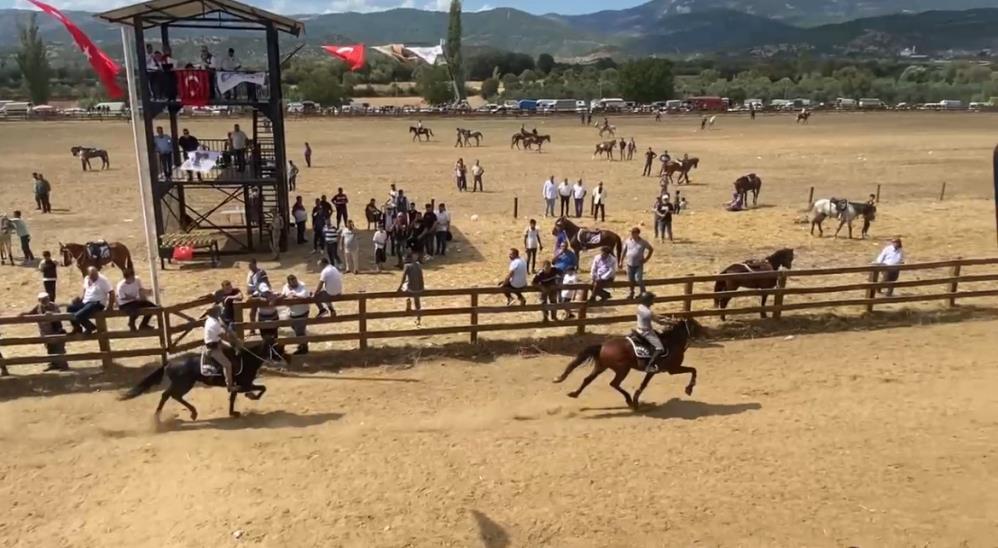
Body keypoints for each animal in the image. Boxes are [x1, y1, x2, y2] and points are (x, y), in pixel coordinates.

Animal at [120, 340, 290, 422]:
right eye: (278, 349)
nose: (288, 358)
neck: (247, 360)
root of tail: (169, 363)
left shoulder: (236, 385)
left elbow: (233, 397)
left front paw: (233, 412)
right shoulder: (245, 384)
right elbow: (262, 388)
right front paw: (251, 396)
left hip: (183, 384)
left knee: (170, 395)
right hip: (183, 384)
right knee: (168, 395)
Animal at [552, 316, 708, 412]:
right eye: (696, 325)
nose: (707, 333)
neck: (672, 342)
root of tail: (603, 346)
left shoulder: (654, 371)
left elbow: (643, 384)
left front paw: (636, 399)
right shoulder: (672, 369)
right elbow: (693, 370)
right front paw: (689, 389)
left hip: (601, 366)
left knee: (587, 380)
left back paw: (574, 394)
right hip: (622, 369)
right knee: (614, 383)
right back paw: (629, 401)